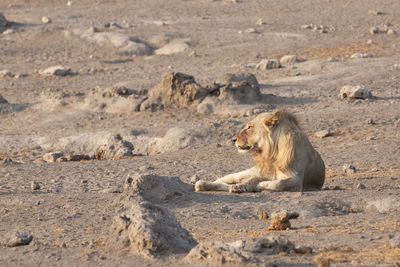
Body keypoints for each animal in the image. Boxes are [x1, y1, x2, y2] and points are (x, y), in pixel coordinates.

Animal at [195, 110, 326, 194]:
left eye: (249, 127)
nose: (233, 139)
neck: (272, 152)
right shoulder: (263, 173)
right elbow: (254, 180)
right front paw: (246, 186)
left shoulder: (297, 179)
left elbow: (279, 183)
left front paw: (260, 186)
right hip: (245, 172)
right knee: (225, 180)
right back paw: (201, 184)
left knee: (227, 185)